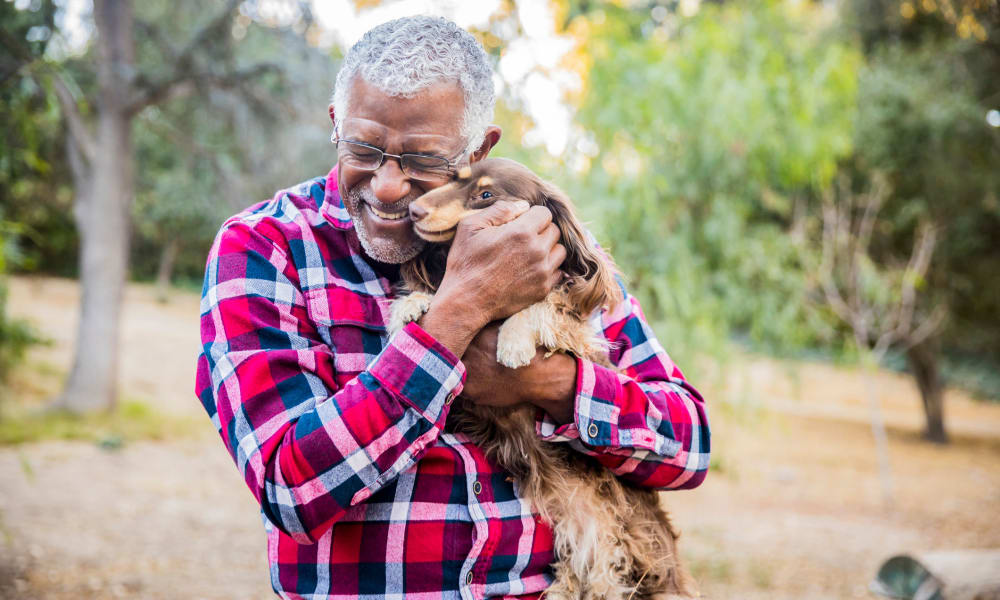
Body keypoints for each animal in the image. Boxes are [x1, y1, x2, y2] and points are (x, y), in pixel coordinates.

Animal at [386, 157, 700, 596]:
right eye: (453, 179)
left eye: (485, 194)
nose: (414, 211)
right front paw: (412, 305)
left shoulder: (578, 336)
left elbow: (544, 307)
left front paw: (513, 338)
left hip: (610, 540)